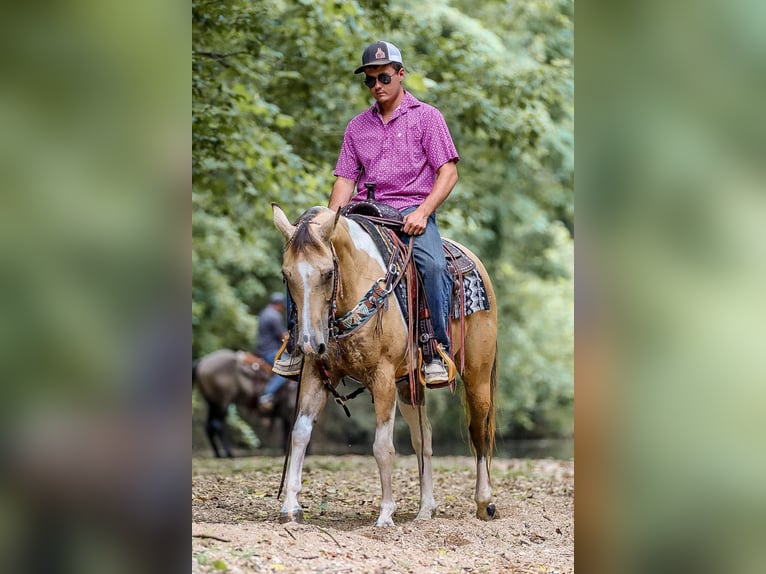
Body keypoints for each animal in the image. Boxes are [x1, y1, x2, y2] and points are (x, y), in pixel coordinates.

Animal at [272, 206, 500, 528]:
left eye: (328, 273)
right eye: (286, 275)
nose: (307, 344)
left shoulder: (382, 378)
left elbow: (382, 446)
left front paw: (385, 514)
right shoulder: (316, 373)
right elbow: (300, 433)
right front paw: (290, 507)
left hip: (477, 376)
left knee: (479, 431)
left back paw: (484, 503)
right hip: (409, 385)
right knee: (423, 437)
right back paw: (425, 508)